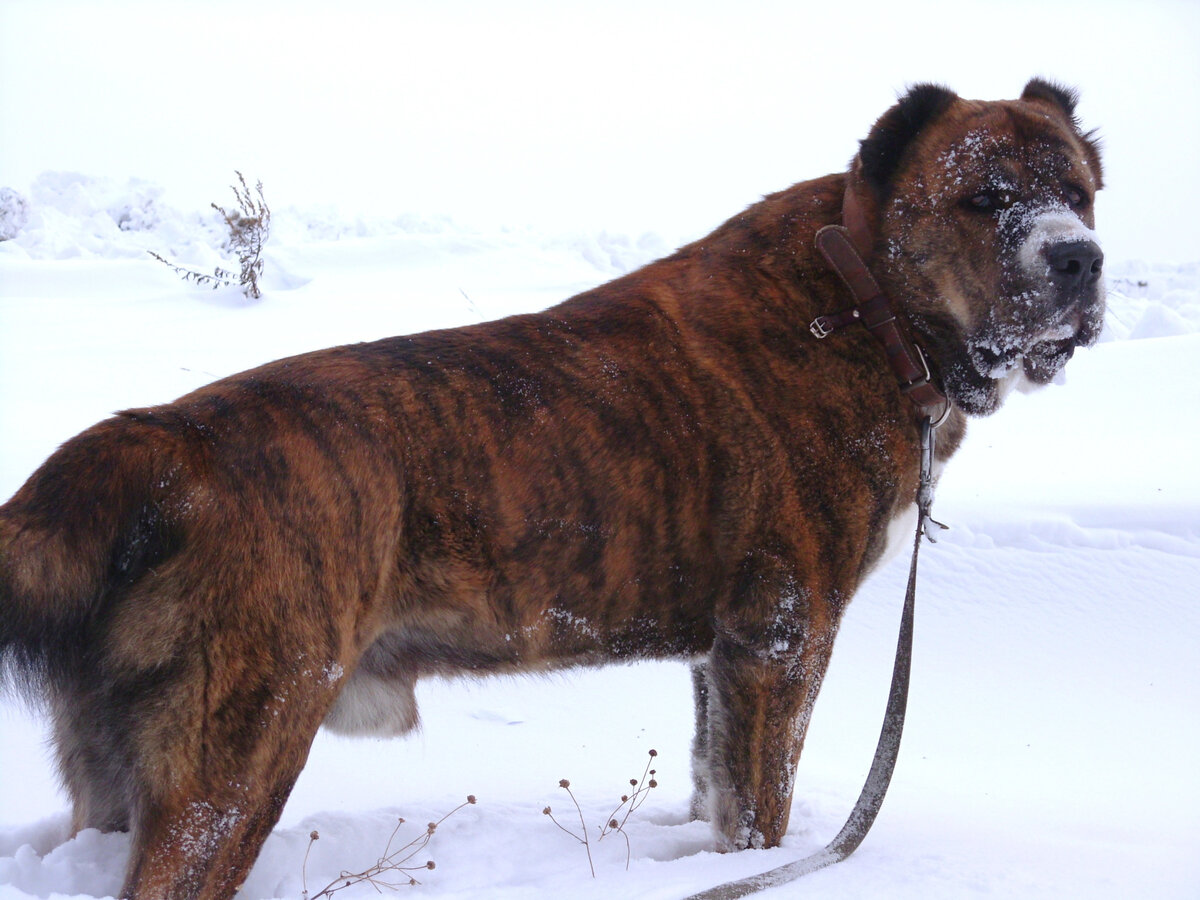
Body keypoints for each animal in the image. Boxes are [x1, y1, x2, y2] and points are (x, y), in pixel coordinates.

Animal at [0, 81, 1099, 897]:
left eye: (1082, 193)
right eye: (983, 198)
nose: (1079, 259)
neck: (863, 301)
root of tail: (159, 440)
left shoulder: (724, 655)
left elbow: (714, 787)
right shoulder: (784, 640)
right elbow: (761, 815)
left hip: (123, 762)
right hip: (239, 752)